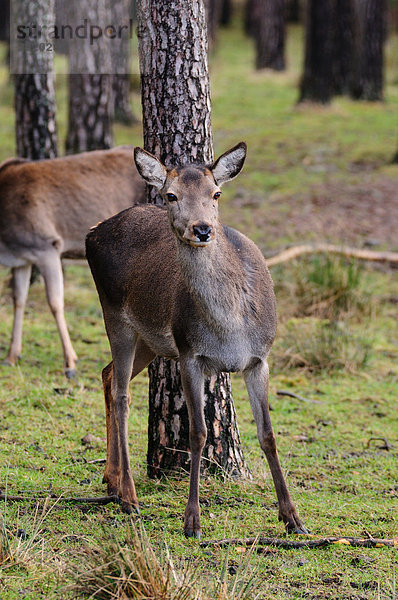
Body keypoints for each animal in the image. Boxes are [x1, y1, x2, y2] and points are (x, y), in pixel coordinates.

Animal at [0, 147, 145, 378]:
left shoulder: (47, 246)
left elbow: (55, 302)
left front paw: (70, 362)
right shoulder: (22, 259)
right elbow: (19, 299)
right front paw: (11, 356)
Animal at [85, 144, 306, 540]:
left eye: (215, 194)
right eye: (171, 195)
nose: (202, 229)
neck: (230, 326)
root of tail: (92, 232)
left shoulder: (260, 358)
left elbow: (268, 434)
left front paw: (292, 518)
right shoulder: (190, 353)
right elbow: (198, 434)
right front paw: (192, 521)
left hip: (152, 339)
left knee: (107, 374)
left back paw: (111, 480)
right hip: (116, 316)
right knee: (122, 393)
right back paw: (129, 496)